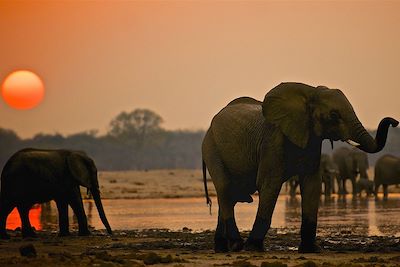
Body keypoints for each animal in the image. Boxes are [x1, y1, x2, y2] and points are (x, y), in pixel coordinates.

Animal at [202, 82, 398, 254]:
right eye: (334, 115)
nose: (394, 122)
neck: (309, 93)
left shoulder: (312, 140)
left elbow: (312, 184)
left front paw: (311, 250)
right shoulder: (272, 141)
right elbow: (269, 184)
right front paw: (254, 248)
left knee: (229, 196)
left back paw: (221, 248)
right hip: (212, 149)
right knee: (225, 188)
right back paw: (236, 245)